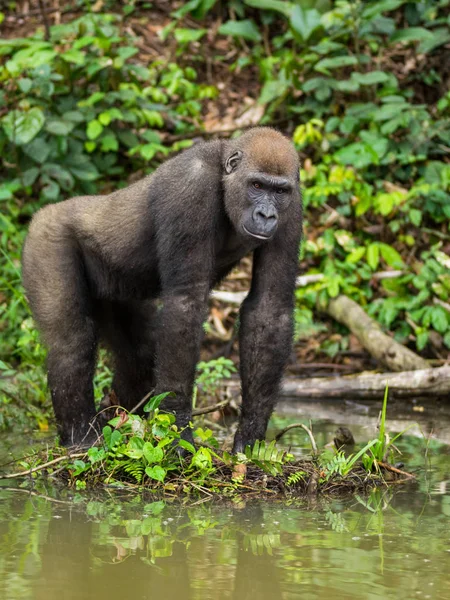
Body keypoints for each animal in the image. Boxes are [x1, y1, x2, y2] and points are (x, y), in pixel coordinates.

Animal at [22, 126, 302, 450]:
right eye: (256, 185)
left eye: (279, 192)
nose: (267, 215)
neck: (224, 176)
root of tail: (43, 213)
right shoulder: (191, 187)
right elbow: (185, 304)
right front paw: (178, 433)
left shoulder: (294, 204)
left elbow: (270, 306)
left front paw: (251, 434)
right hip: (46, 237)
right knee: (71, 341)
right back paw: (81, 438)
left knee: (138, 354)